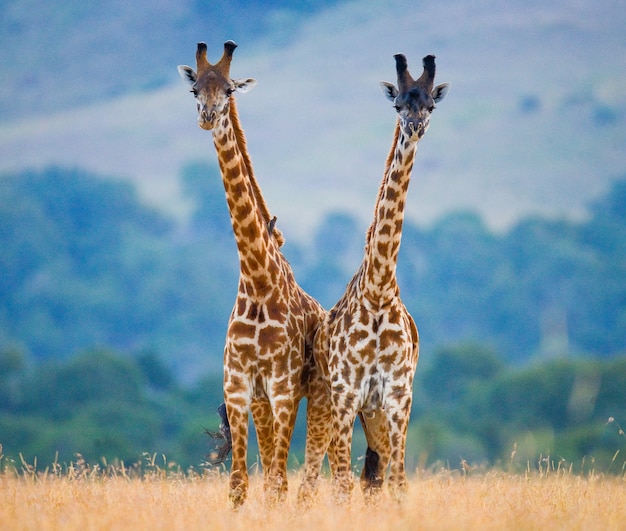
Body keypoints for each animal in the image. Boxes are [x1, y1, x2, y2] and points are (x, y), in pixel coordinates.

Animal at [177, 40, 332, 508]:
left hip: (311, 397)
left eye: (228, 90)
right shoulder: (239, 385)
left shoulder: (282, 387)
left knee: (302, 471)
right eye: (195, 89)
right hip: (264, 402)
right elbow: (239, 485)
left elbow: (278, 479)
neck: (258, 281)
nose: (207, 116)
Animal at [314, 53, 446, 502]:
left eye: (430, 104)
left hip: (377, 418)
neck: (378, 290)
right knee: (346, 477)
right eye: (398, 104)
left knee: (375, 478)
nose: (415, 125)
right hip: (342, 410)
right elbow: (340, 485)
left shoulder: (399, 396)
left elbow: (399, 483)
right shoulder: (346, 394)